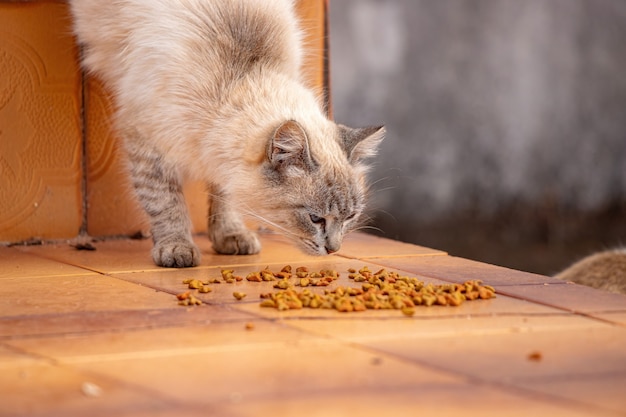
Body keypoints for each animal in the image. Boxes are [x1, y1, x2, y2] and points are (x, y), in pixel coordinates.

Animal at [67, 0, 380, 266]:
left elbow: (224, 196)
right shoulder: (148, 144)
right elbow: (166, 203)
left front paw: (230, 235)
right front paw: (176, 247)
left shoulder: (220, 157)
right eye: (315, 219)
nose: (334, 249)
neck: (245, 73)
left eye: (350, 217)